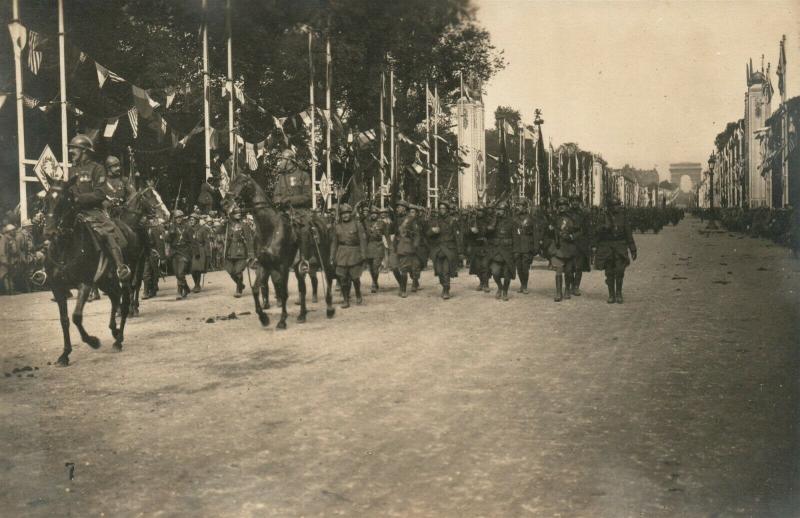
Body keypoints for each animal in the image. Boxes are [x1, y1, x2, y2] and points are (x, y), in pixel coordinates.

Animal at [223, 173, 336, 332]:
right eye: (231, 182)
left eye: (243, 183)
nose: (225, 203)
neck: (270, 229)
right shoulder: (264, 265)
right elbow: (256, 289)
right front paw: (263, 318)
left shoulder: (283, 267)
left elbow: (283, 293)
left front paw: (282, 321)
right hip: (298, 267)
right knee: (302, 288)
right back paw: (302, 315)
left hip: (323, 257)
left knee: (329, 278)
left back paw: (330, 309)